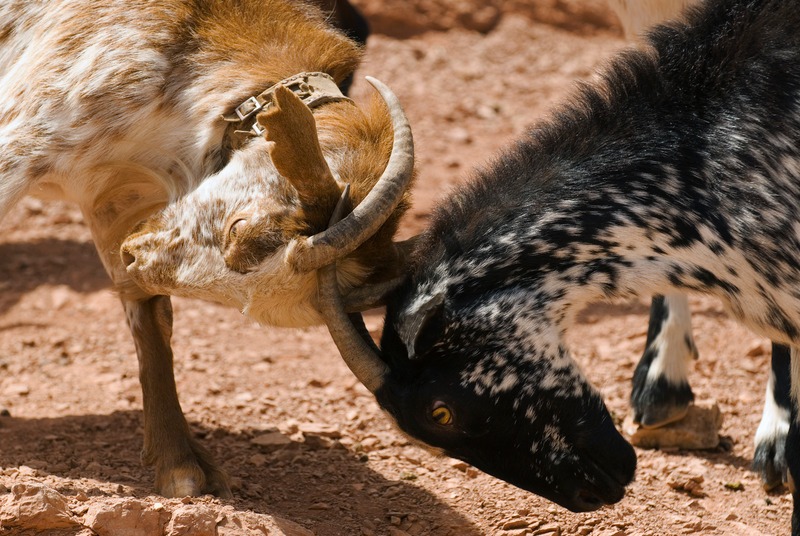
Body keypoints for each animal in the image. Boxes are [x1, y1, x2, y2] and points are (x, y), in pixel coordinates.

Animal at [0, 0, 414, 498]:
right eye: (241, 228)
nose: (134, 258)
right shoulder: (26, 136)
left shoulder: (118, 195)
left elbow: (151, 319)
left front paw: (179, 464)